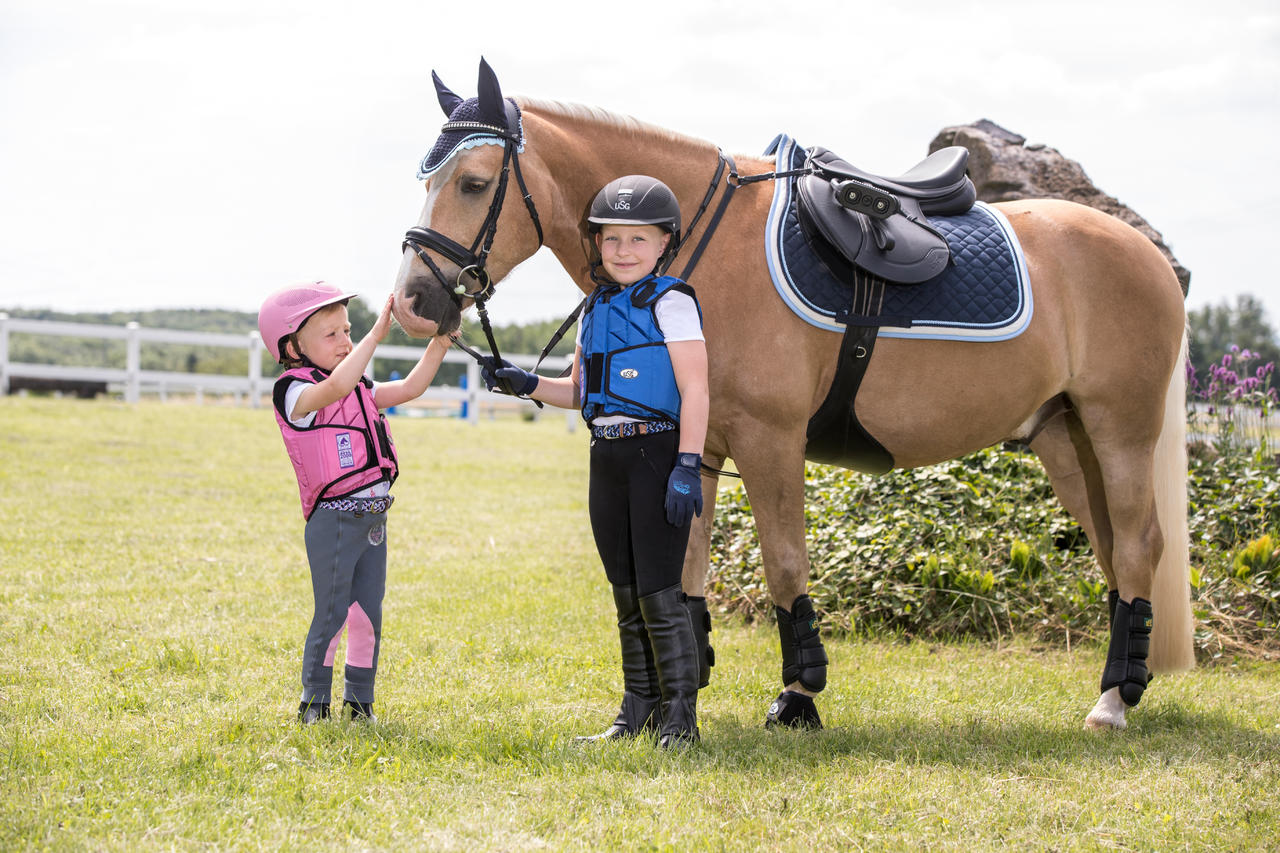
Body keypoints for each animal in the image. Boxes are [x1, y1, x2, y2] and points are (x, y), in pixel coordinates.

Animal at [394, 59, 1192, 727]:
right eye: (424, 180)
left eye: (472, 182)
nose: (412, 303)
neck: (704, 248)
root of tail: (1148, 255)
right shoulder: (698, 454)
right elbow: (682, 572)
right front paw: (685, 689)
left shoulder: (769, 442)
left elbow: (784, 564)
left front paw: (798, 694)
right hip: (1065, 437)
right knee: (1113, 549)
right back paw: (1122, 683)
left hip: (1119, 430)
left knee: (1138, 544)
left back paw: (1114, 701)